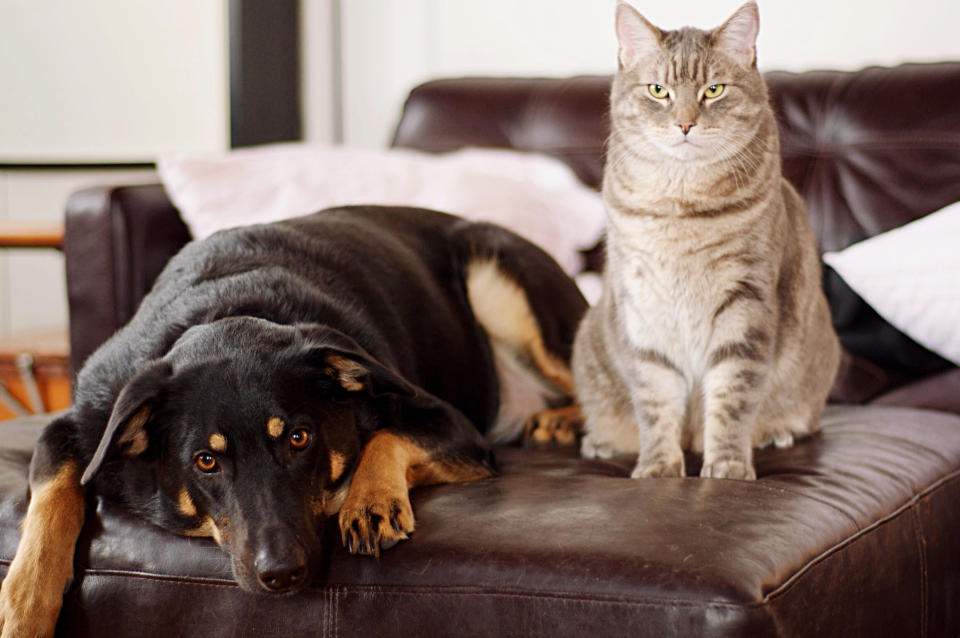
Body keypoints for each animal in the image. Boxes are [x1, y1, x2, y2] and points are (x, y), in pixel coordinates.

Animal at [0, 208, 584, 636]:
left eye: (300, 439)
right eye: (205, 461)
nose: (282, 575)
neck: (225, 308)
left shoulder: (451, 425)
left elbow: (386, 436)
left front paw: (370, 499)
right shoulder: (77, 422)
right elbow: (52, 498)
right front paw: (25, 605)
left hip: (501, 280)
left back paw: (567, 422)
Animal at [568, 1, 840, 480]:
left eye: (713, 90)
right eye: (658, 90)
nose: (685, 123)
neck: (680, 203)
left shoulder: (745, 299)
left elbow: (732, 396)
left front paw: (727, 466)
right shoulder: (643, 302)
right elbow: (655, 398)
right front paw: (658, 468)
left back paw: (775, 432)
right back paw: (603, 442)